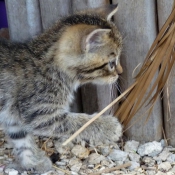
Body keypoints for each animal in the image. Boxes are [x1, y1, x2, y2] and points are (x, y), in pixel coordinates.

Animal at [0, 3, 122, 172]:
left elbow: (22, 141)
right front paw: (109, 127)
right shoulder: (39, 112)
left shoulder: (14, 118)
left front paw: (33, 163)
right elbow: (75, 122)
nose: (120, 73)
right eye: (111, 63)